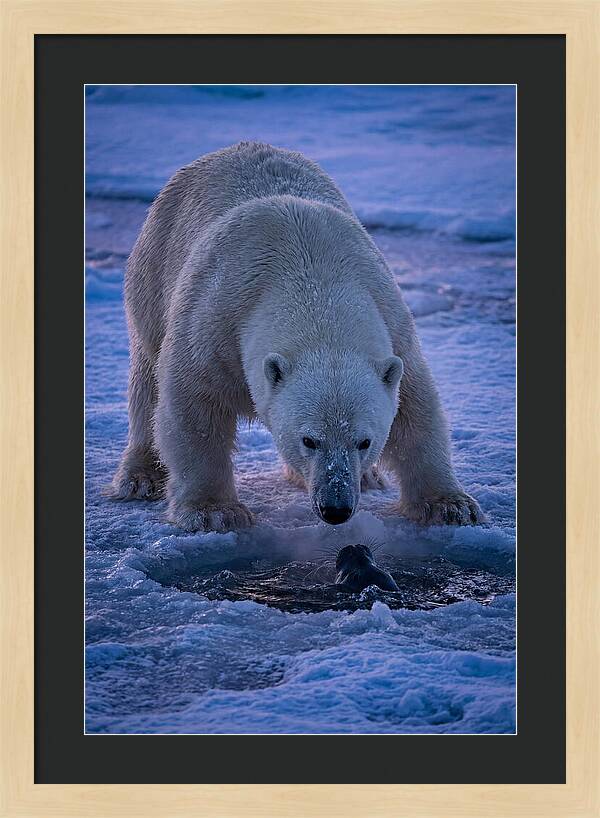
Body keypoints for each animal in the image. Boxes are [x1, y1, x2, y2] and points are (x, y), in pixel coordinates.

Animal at [112, 141, 484, 532]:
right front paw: (214, 511)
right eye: (309, 440)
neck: (312, 275)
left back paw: (368, 478)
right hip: (153, 270)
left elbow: (416, 409)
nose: (336, 508)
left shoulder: (393, 323)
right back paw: (140, 477)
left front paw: (452, 506)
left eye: (364, 441)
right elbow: (194, 408)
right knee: (147, 377)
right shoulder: (214, 321)